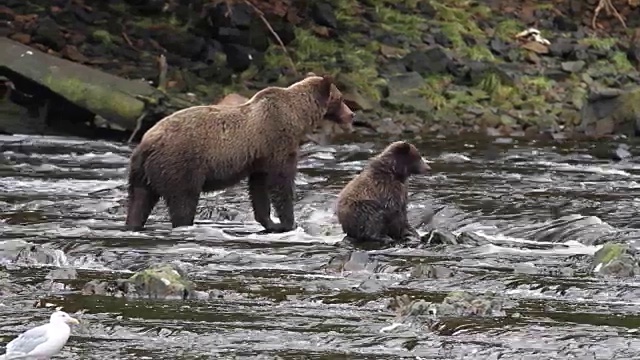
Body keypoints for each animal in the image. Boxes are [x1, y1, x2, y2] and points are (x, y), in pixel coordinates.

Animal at [125, 74, 356, 231]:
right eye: (341, 98)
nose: (352, 115)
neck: (298, 117)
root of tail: (146, 143)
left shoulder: (260, 156)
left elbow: (259, 187)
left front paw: (270, 222)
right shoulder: (278, 140)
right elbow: (280, 181)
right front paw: (289, 222)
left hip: (142, 172)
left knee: (139, 200)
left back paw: (133, 224)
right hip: (180, 163)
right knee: (183, 200)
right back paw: (184, 223)